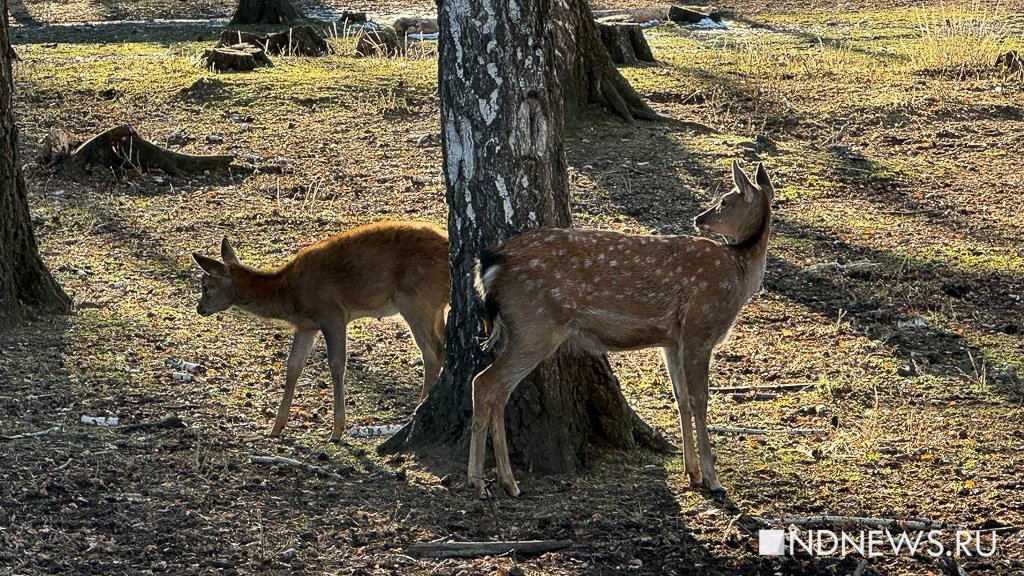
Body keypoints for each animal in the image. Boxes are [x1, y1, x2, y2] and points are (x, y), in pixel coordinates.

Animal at [192, 219, 448, 438]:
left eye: (206, 287)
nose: (199, 308)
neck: (289, 295)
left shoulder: (332, 314)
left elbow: (336, 365)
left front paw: (337, 430)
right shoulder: (306, 326)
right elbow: (293, 366)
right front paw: (276, 427)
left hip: (417, 300)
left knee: (432, 353)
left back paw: (417, 411)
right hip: (435, 307)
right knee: (443, 347)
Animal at [468, 159, 770, 494]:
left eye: (724, 201)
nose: (699, 218)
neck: (740, 274)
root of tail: (490, 263)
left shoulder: (672, 341)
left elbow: (681, 399)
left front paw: (692, 473)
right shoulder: (699, 329)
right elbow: (699, 400)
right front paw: (713, 479)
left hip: (519, 329)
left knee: (498, 391)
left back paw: (504, 481)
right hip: (535, 325)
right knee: (484, 383)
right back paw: (480, 482)